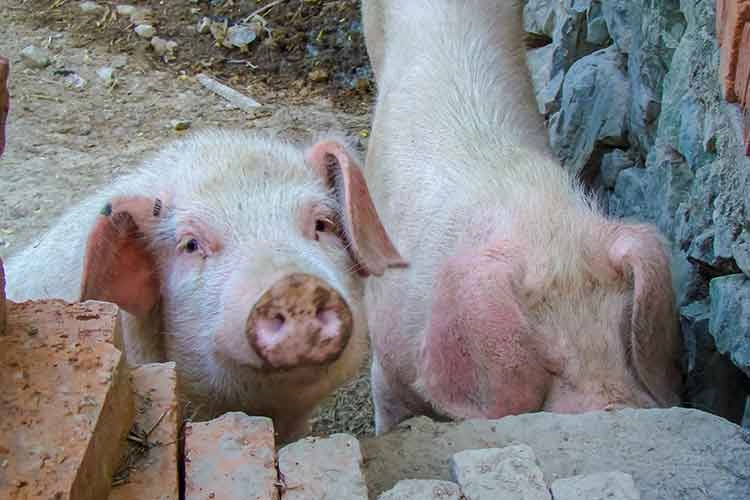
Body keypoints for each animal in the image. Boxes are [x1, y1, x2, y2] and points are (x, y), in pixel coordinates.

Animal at [361, 0, 683, 434]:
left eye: (623, 336)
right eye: (544, 359)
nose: (614, 407)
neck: (539, 223)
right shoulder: (387, 352)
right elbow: (387, 408)